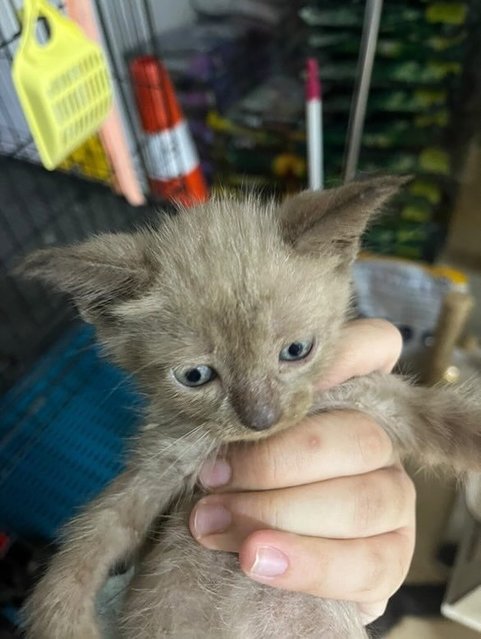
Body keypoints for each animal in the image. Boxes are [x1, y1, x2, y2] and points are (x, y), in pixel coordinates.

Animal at [17, 178, 480, 639]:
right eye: (195, 376)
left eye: (297, 350)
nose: (261, 419)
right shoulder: (159, 469)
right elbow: (92, 537)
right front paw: (64, 622)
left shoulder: (372, 400)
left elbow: (449, 418)